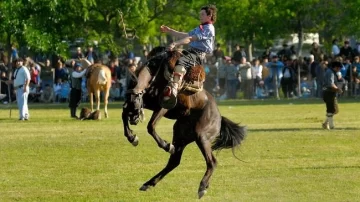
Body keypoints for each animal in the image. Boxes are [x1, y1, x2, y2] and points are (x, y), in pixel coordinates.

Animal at [122, 47, 246, 199]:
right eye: (128, 98)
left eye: (135, 101)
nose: (134, 120)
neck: (155, 76)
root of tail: (219, 117)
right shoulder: (148, 103)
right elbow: (123, 114)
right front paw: (132, 137)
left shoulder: (163, 106)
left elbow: (150, 126)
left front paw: (165, 145)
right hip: (181, 135)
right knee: (174, 161)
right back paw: (148, 183)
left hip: (202, 136)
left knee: (212, 162)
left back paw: (202, 187)